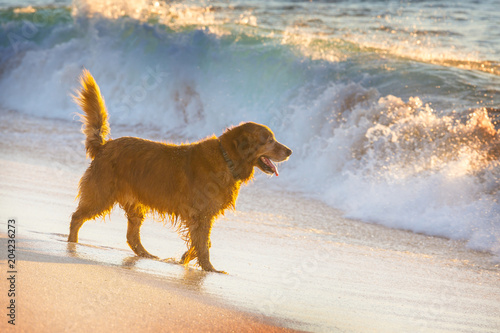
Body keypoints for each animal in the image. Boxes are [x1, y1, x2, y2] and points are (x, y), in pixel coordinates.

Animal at [67, 70, 292, 272]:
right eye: (269, 140)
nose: (290, 151)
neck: (226, 158)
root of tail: (105, 146)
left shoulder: (202, 216)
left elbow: (201, 242)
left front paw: (186, 258)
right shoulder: (200, 214)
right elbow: (203, 244)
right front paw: (209, 268)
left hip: (135, 204)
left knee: (132, 237)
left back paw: (147, 255)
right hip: (101, 195)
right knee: (76, 217)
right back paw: (72, 244)